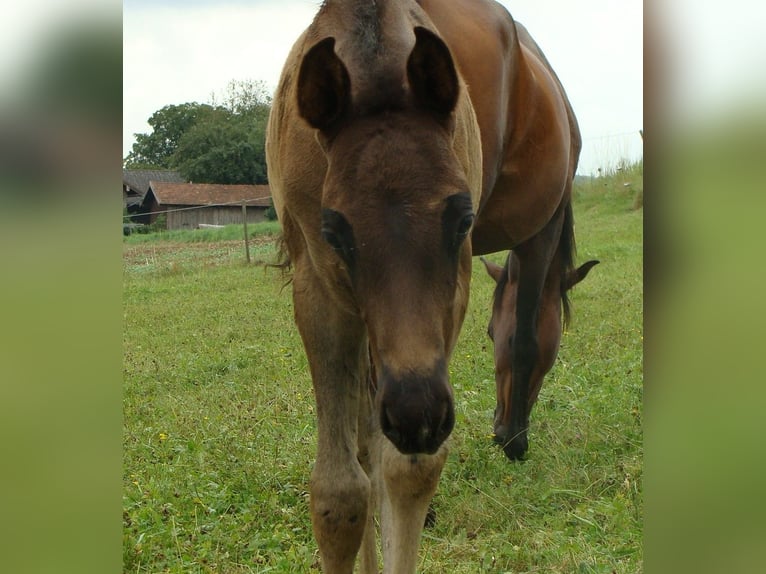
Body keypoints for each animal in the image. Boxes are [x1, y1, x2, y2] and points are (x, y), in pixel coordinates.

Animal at [268, 0, 584, 572]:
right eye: (333, 232)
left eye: (462, 219)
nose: (417, 414)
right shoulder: (318, 287)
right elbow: (338, 494)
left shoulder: (454, 289)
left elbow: (406, 469)